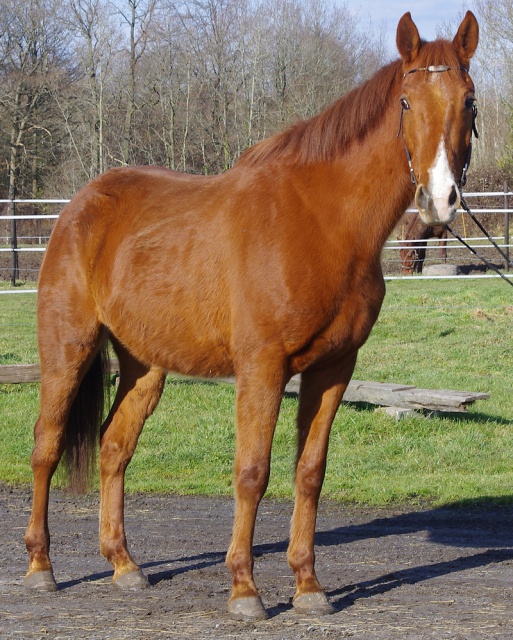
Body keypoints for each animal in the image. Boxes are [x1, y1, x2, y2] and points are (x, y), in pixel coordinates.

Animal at [24, 11, 478, 620]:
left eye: (468, 101)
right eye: (406, 102)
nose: (440, 199)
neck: (321, 224)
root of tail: (80, 206)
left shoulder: (334, 369)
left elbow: (309, 473)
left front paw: (309, 587)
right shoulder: (262, 368)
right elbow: (252, 472)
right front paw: (245, 590)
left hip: (144, 366)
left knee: (114, 448)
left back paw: (124, 566)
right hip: (67, 351)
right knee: (46, 448)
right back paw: (41, 567)